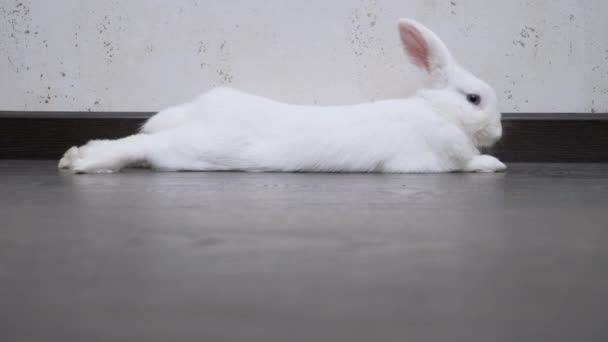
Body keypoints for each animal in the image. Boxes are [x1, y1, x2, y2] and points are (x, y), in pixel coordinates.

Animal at [58, 18, 504, 174]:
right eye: (474, 99)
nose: (499, 133)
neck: (439, 113)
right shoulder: (420, 165)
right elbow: (467, 166)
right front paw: (493, 163)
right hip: (198, 149)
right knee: (143, 146)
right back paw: (84, 163)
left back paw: (76, 156)